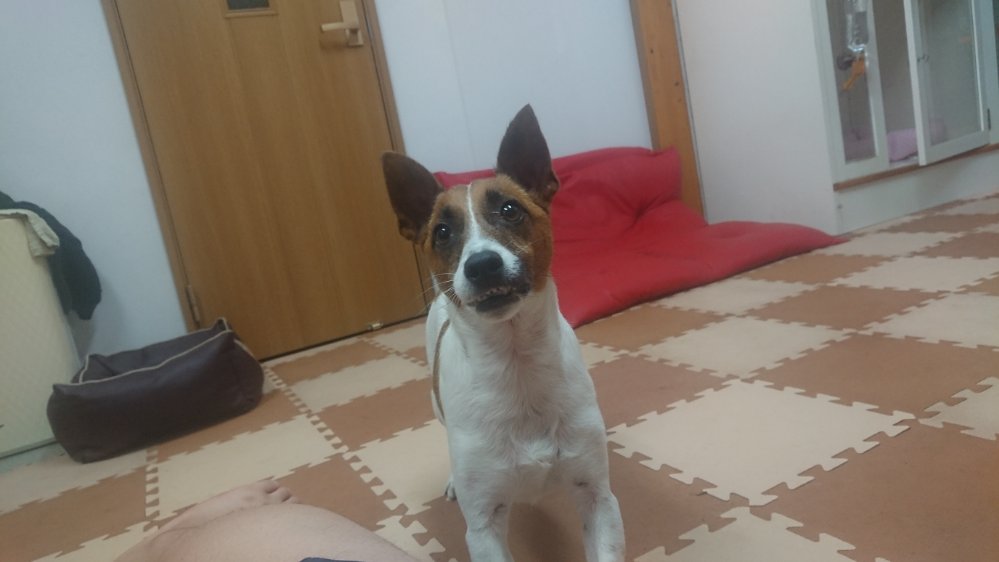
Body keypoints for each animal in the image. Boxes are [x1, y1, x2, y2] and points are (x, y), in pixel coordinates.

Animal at [382, 105, 625, 562]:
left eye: (511, 210)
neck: (517, 365)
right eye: (442, 232)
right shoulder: (484, 524)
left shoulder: (596, 496)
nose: (481, 265)